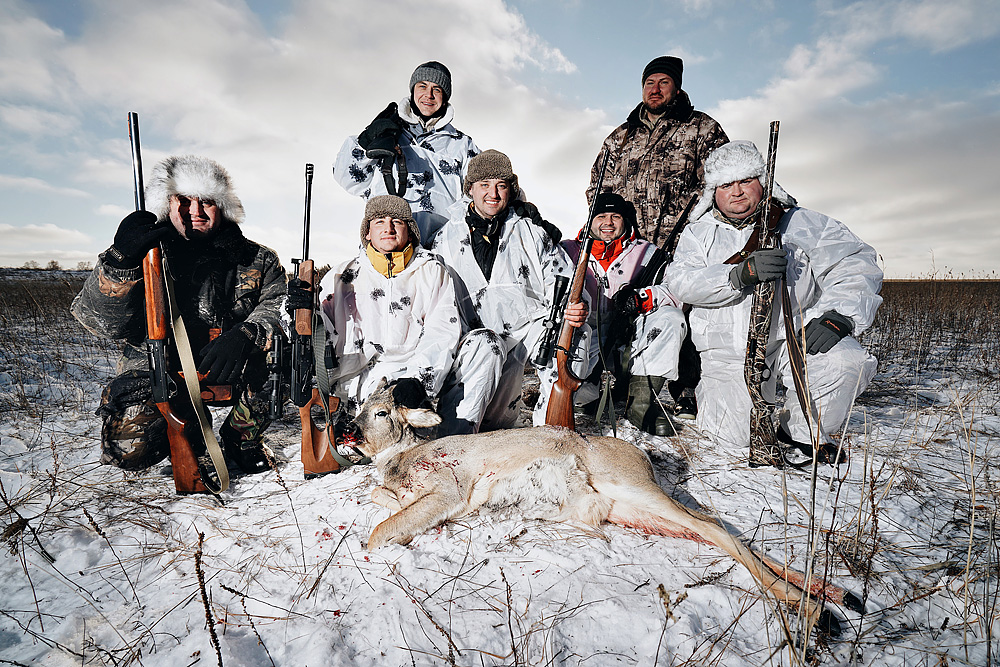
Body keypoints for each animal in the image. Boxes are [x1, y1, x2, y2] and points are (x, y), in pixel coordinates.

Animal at [350, 378, 860, 636]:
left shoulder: (449, 490)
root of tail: (641, 456)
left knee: (717, 529)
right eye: (358, 406)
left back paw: (816, 612)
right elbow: (377, 498)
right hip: (628, 509)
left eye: (381, 412)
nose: (347, 427)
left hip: (632, 488)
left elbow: (379, 530)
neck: (403, 459)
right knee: (712, 525)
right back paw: (834, 597)